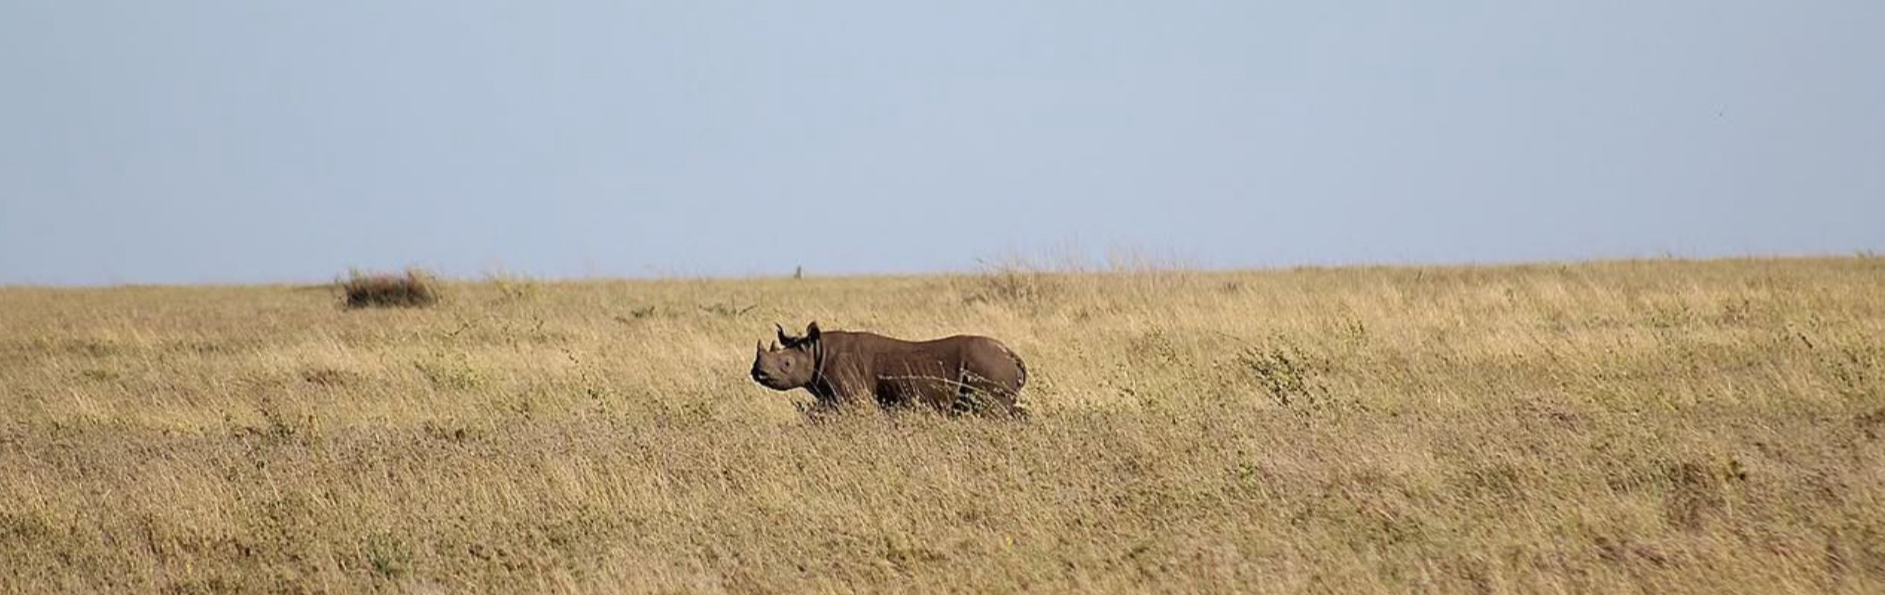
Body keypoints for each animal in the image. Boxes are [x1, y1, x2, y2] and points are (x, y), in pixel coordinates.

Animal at [750, 321, 1029, 417]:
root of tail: (1011, 355)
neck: (818, 351)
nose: (758, 373)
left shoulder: (851, 397)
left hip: (989, 366)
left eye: (787, 364)